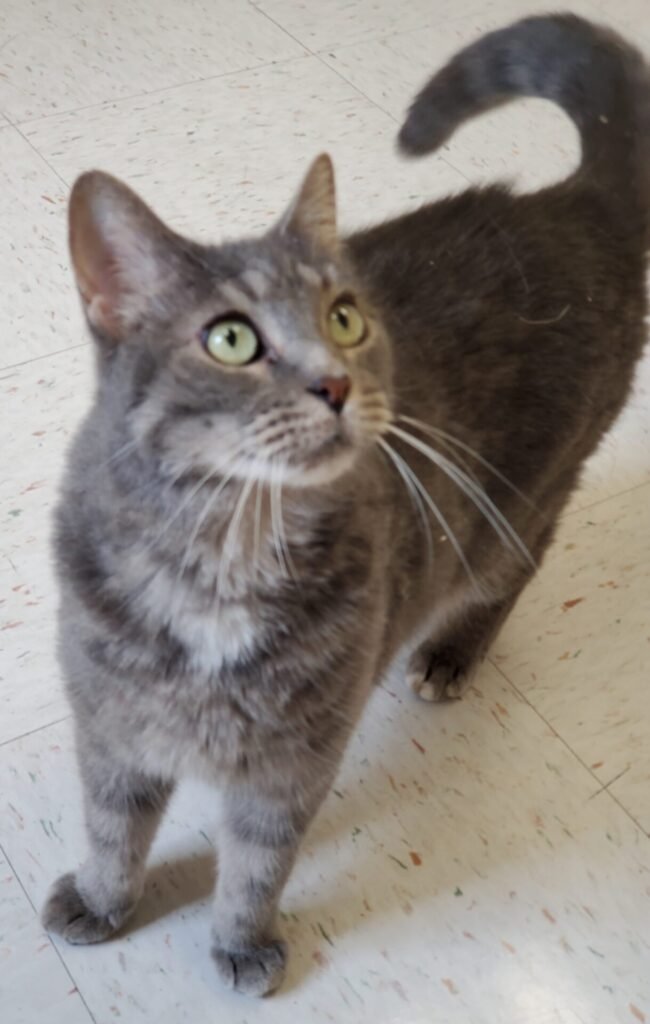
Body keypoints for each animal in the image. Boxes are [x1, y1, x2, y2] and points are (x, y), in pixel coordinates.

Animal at [42, 14, 648, 997]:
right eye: (230, 338)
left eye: (345, 318)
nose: (334, 383)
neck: (226, 554)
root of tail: (574, 203)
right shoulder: (111, 730)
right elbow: (112, 829)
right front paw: (102, 903)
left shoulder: (294, 762)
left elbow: (258, 863)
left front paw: (242, 942)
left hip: (522, 506)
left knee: (512, 574)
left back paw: (449, 655)